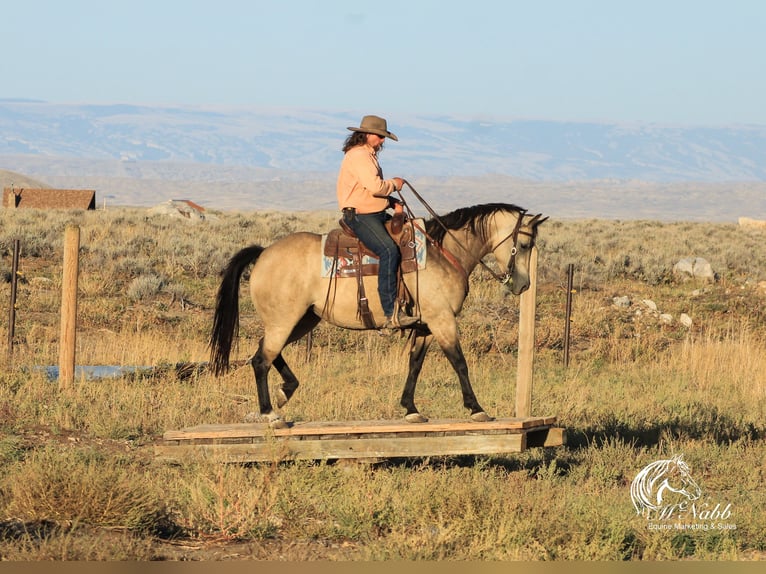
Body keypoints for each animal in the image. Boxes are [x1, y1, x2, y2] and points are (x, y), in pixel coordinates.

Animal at [207, 202, 548, 428]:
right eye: (524, 243)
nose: (523, 284)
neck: (444, 252)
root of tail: (263, 252)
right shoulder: (443, 321)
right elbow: (459, 362)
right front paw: (476, 408)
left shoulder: (426, 326)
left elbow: (415, 364)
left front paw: (411, 409)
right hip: (285, 320)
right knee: (261, 359)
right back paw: (270, 414)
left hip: (302, 319)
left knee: (264, 352)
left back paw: (284, 392)